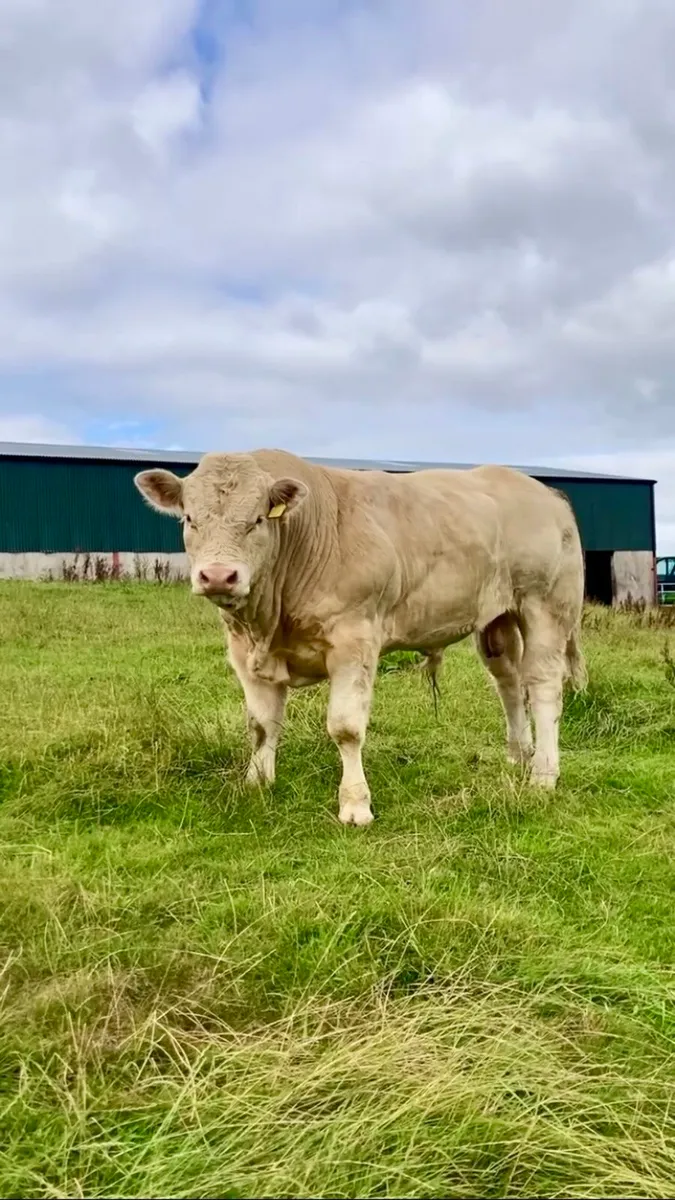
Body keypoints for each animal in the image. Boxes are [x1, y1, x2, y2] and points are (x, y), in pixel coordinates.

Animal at [134, 450, 587, 826]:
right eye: (190, 519)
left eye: (258, 520)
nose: (217, 576)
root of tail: (543, 491)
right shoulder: (244, 652)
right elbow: (261, 725)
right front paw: (257, 782)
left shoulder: (354, 641)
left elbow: (346, 728)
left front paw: (355, 805)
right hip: (497, 618)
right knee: (509, 683)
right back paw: (519, 755)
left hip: (546, 606)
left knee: (543, 686)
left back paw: (544, 774)